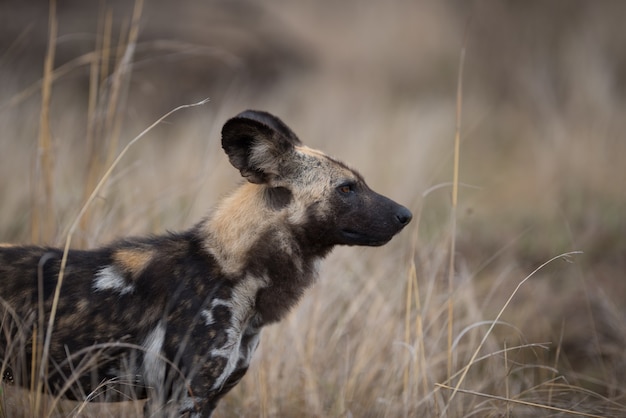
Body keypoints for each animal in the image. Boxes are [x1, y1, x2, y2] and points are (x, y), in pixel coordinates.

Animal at [1, 109, 410, 416]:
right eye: (346, 188)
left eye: (359, 183)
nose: (406, 215)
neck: (233, 272)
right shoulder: (177, 399)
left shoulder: (208, 398)